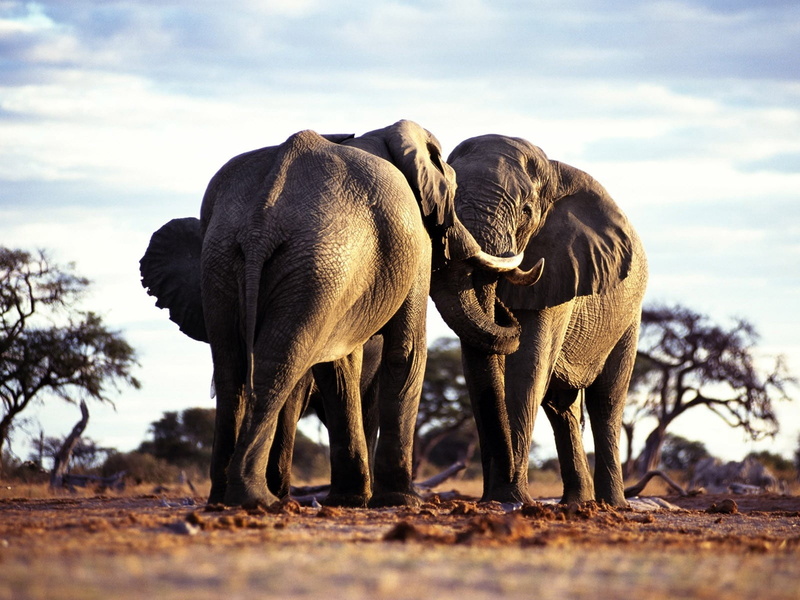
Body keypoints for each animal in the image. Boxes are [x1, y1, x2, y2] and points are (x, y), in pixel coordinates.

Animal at [140, 120, 519, 508]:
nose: (507, 311)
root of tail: (261, 222)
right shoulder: (416, 244)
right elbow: (407, 351)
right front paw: (400, 501)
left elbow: (338, 365)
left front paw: (350, 499)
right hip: (317, 262)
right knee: (278, 364)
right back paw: (257, 498)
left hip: (226, 261)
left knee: (233, 365)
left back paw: (225, 498)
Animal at [429, 134, 648, 507]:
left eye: (526, 212)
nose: (502, 309)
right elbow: (480, 368)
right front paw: (497, 498)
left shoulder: (561, 267)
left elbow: (527, 366)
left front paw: (510, 498)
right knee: (562, 408)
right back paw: (576, 503)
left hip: (629, 316)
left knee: (606, 401)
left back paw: (612, 505)